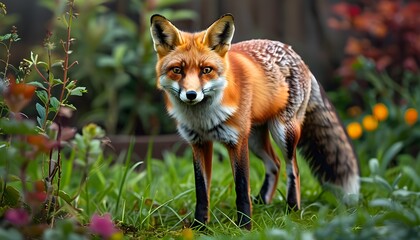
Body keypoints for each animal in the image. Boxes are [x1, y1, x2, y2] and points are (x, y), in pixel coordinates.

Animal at [149, 13, 360, 231]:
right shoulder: (199, 143)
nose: (191, 95)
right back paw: (262, 202)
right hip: (255, 140)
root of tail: (298, 57)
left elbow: (241, 187)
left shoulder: (236, 141)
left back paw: (292, 210)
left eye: (206, 70)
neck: (203, 119)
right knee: (275, 164)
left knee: (293, 168)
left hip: (283, 133)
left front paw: (244, 227)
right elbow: (201, 191)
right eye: (177, 70)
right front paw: (200, 227)